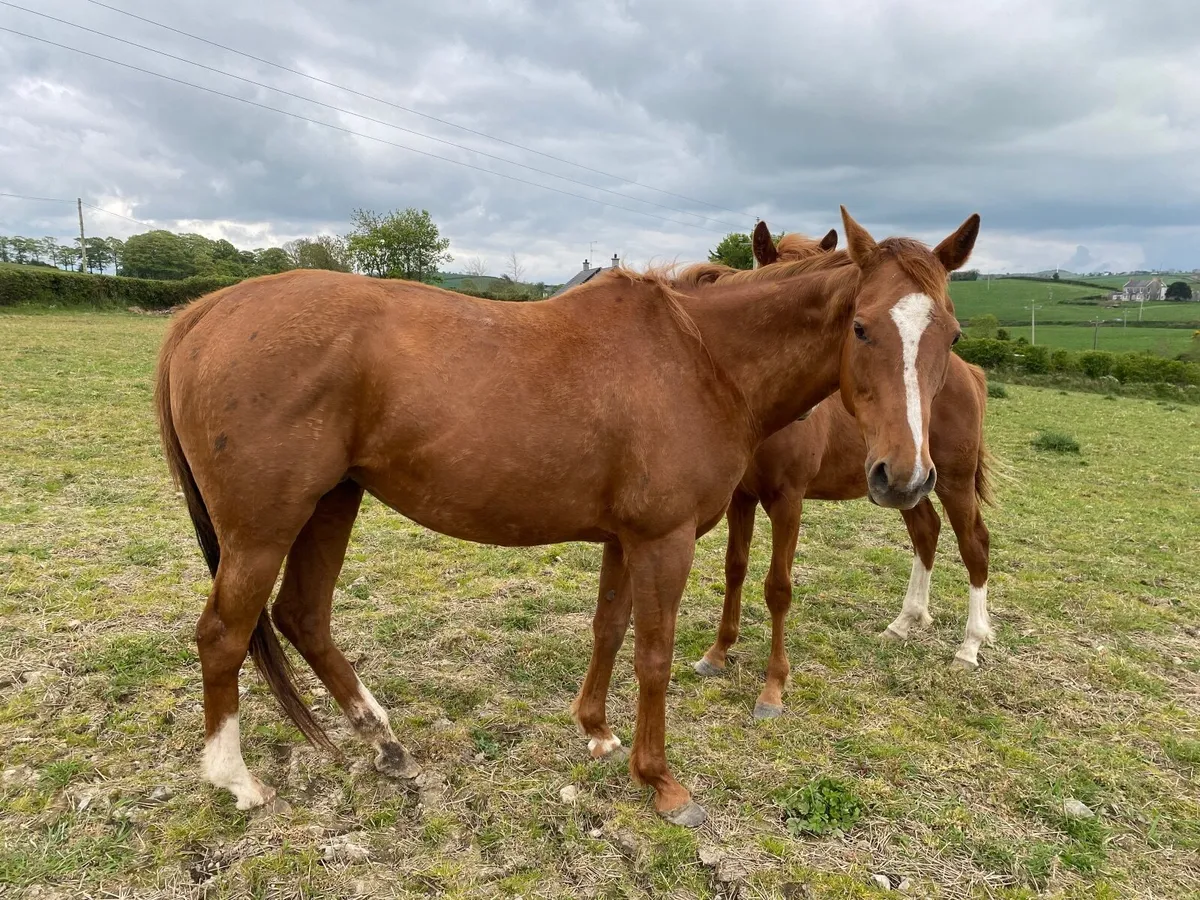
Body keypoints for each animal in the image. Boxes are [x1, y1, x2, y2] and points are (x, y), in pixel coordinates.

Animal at [691, 221, 995, 722]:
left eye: (953, 334)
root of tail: (968, 373)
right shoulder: (742, 498)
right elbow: (735, 568)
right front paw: (717, 654)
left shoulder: (788, 500)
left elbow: (778, 587)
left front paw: (773, 689)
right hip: (906, 485)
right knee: (926, 531)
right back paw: (903, 623)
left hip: (948, 480)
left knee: (974, 544)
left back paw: (969, 647)